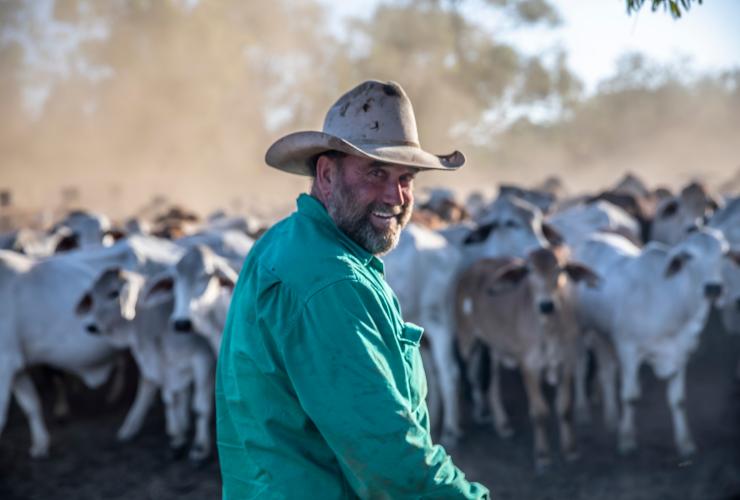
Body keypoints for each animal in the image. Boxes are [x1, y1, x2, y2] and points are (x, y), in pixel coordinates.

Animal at [580, 228, 728, 458]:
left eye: (722, 253)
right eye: (688, 256)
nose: (713, 288)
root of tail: (593, 237)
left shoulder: (680, 354)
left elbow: (678, 400)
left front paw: (685, 443)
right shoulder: (628, 349)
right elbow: (630, 396)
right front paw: (627, 440)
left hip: (602, 333)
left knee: (606, 371)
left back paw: (611, 419)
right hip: (581, 329)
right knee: (580, 368)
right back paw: (583, 412)